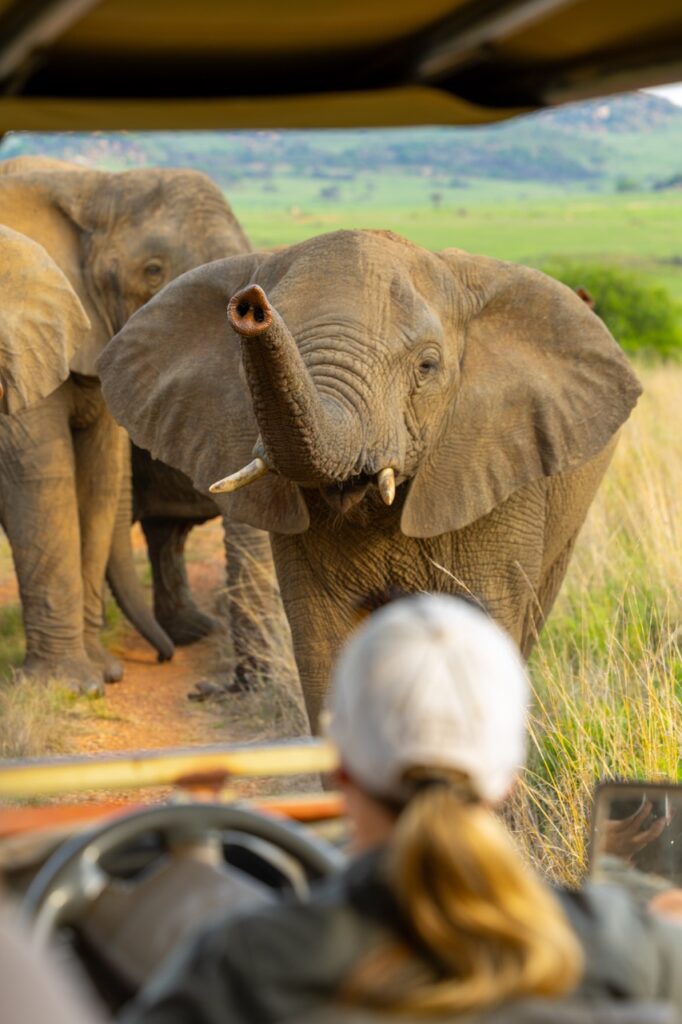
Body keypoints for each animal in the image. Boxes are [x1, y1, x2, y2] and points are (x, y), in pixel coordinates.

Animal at [0, 158, 253, 693]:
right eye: (152, 271)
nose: (163, 661)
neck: (90, 183)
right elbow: (43, 481)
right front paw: (69, 687)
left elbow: (95, 480)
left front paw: (102, 674)